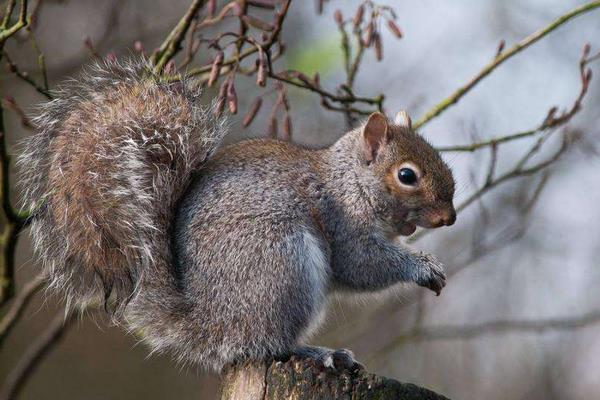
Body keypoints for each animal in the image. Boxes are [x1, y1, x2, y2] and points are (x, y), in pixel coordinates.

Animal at [21, 59, 458, 372]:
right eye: (406, 175)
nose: (450, 218)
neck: (351, 181)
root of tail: (209, 324)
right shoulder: (342, 222)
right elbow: (362, 265)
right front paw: (423, 267)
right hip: (280, 265)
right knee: (265, 346)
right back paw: (316, 353)